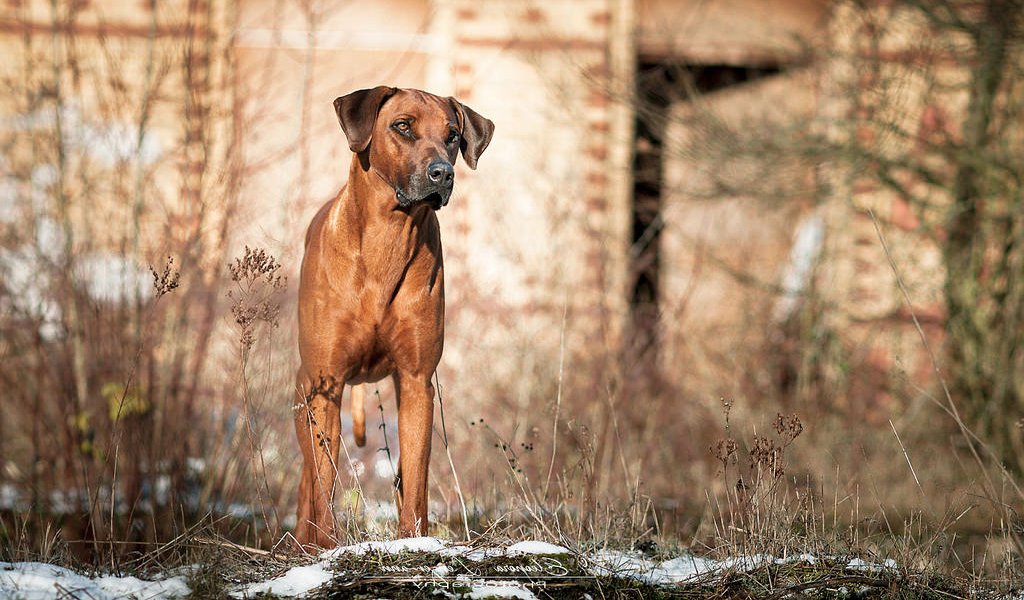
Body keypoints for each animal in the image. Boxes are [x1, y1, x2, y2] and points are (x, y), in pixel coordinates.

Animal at [292, 85, 495, 544]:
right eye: (403, 127)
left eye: (453, 135)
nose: (443, 174)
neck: (387, 236)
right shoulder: (326, 385)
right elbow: (324, 479)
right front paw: (325, 547)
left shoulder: (418, 380)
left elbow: (416, 473)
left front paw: (414, 539)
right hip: (305, 395)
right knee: (309, 478)